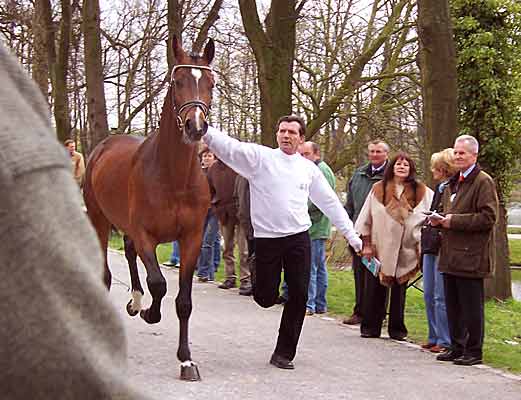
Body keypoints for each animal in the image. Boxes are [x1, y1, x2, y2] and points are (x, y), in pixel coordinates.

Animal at [83, 37, 213, 382]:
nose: (196, 126)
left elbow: (183, 300)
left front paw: (186, 360)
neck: (173, 176)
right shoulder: (145, 234)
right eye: (177, 81)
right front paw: (149, 314)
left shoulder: (192, 237)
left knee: (129, 255)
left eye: (210, 82)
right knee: (106, 272)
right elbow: (159, 283)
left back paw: (134, 301)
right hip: (100, 220)